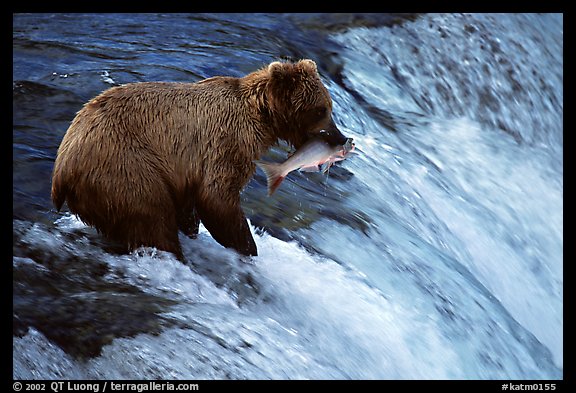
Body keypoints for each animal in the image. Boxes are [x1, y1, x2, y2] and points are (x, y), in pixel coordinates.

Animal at [50, 59, 346, 260]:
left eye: (329, 107)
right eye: (321, 109)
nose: (341, 138)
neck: (261, 117)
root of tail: (61, 169)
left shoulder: (187, 169)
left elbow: (192, 202)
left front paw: (194, 228)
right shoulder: (226, 143)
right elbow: (217, 197)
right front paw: (247, 246)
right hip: (124, 166)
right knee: (152, 218)